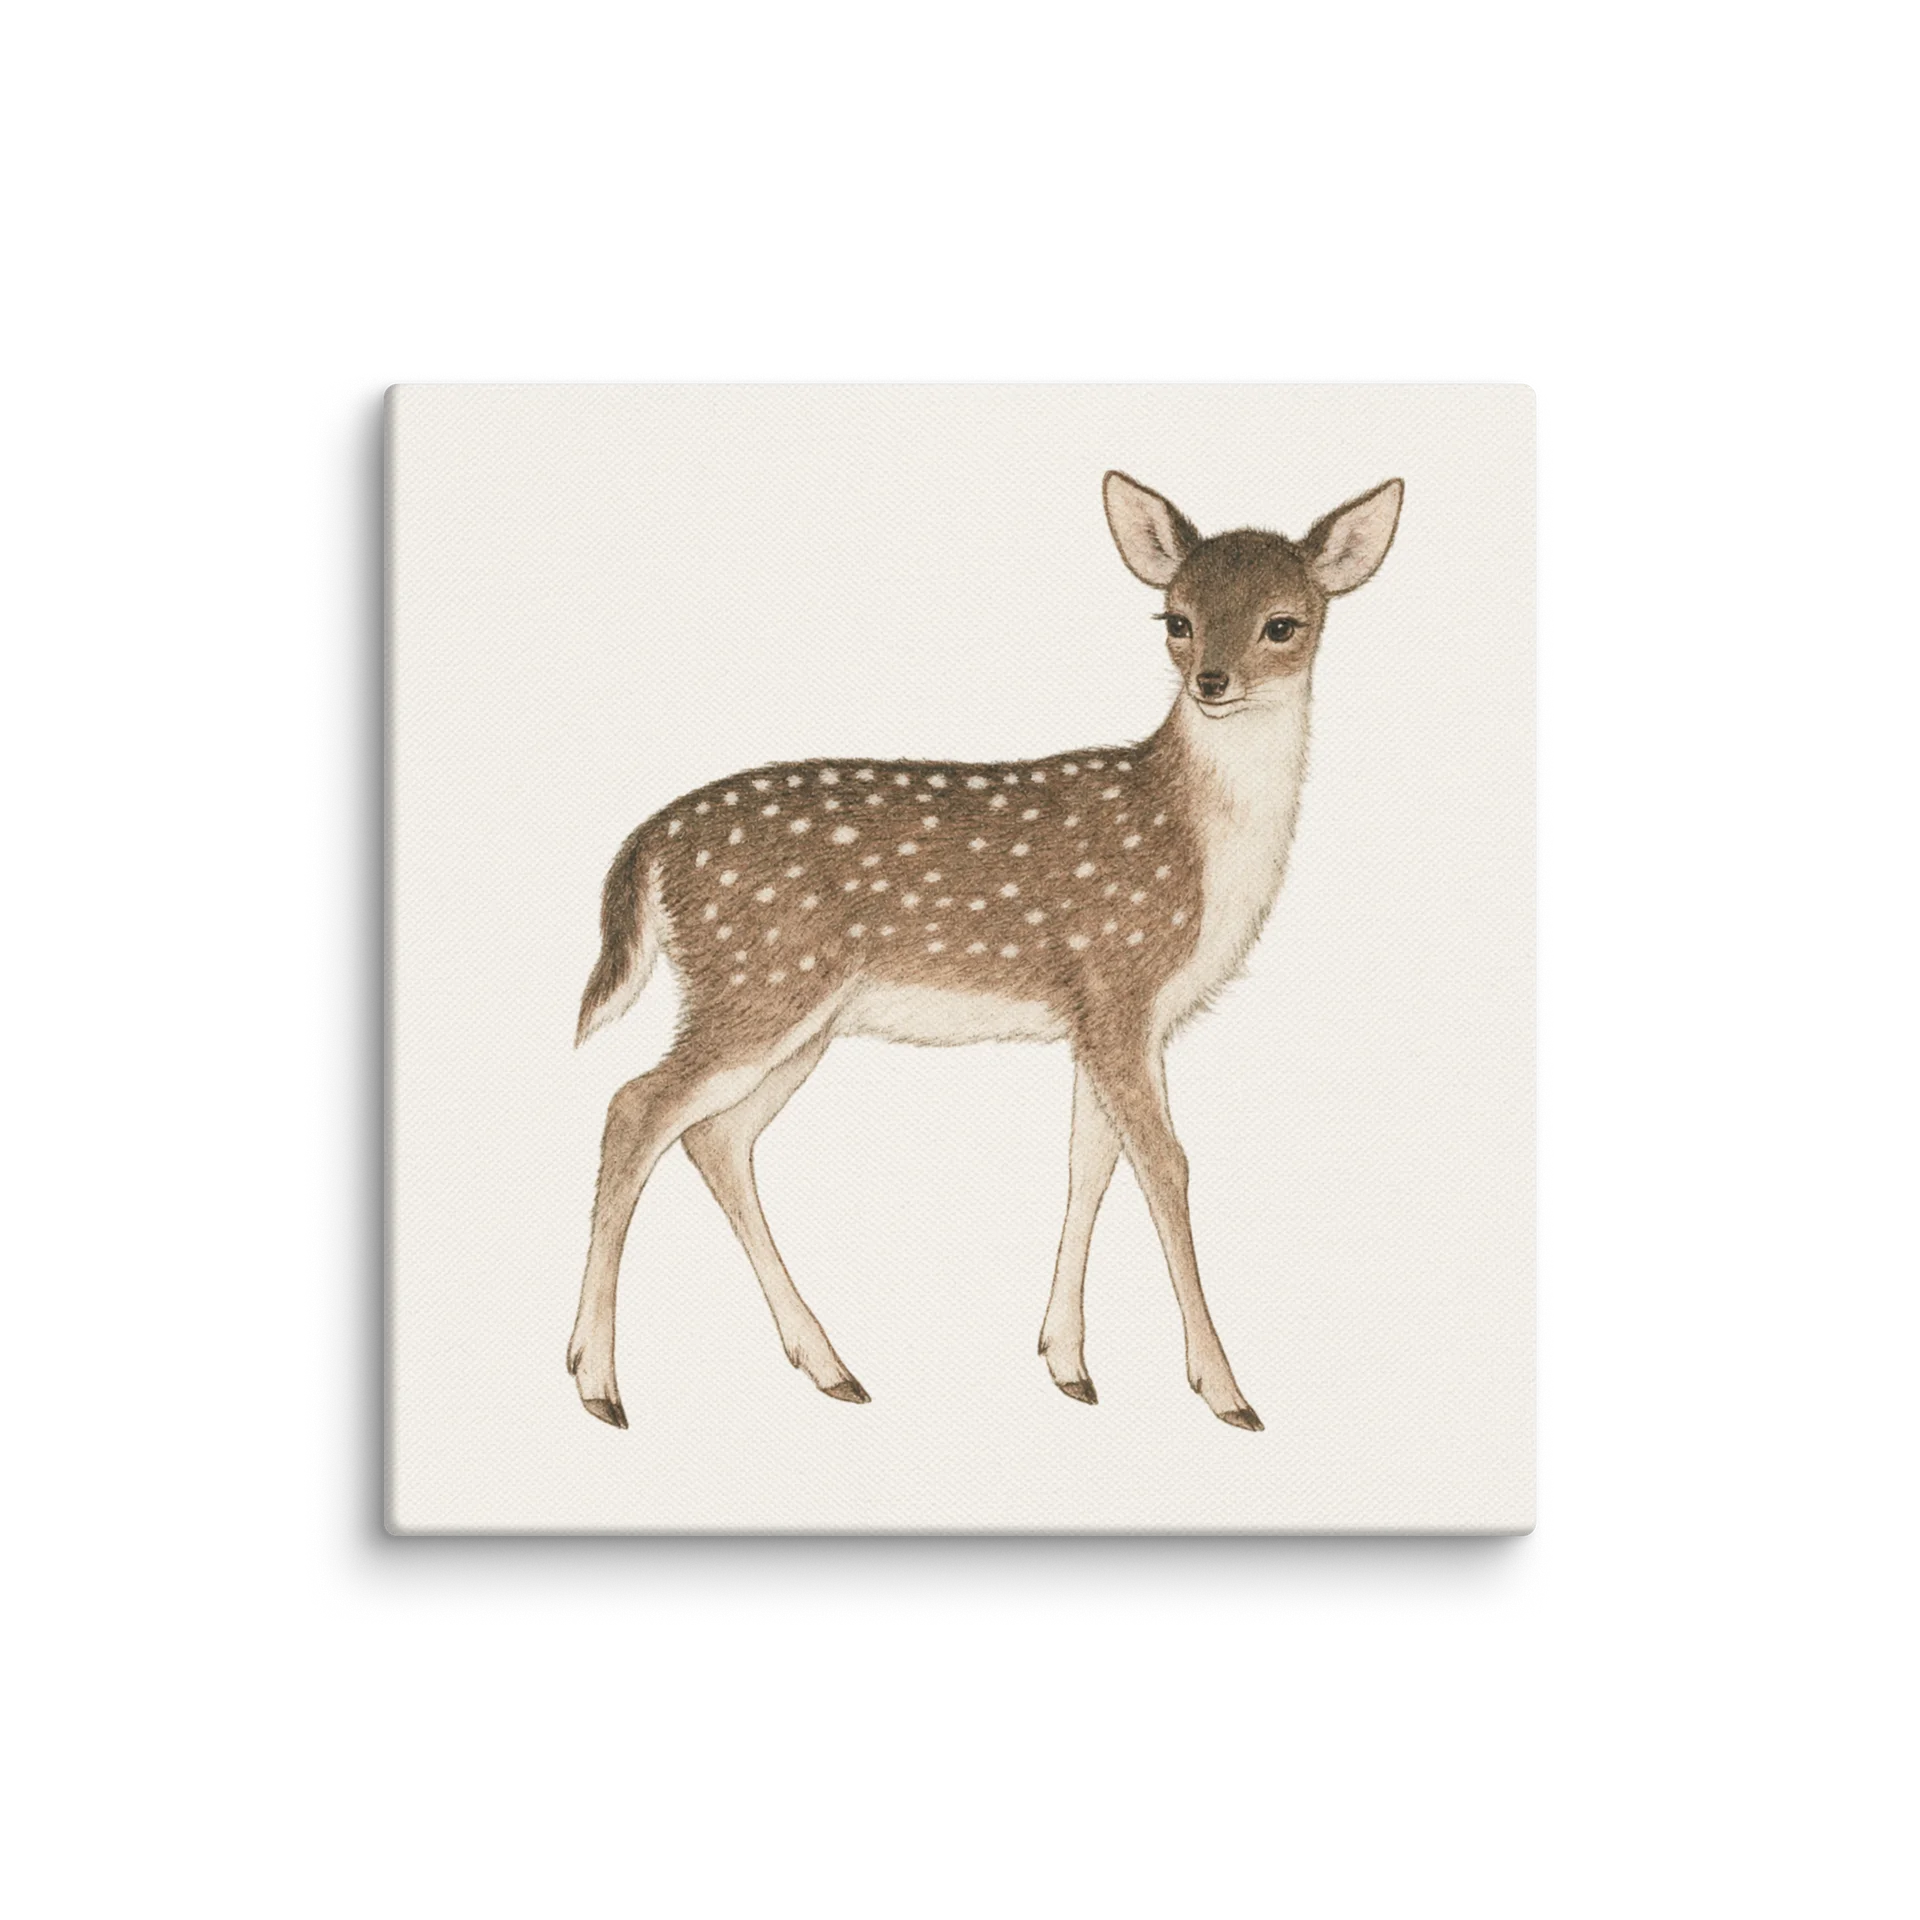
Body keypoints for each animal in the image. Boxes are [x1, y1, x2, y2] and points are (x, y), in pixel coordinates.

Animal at [568, 471, 1403, 1432]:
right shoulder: (1115, 981)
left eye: (1283, 623)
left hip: (795, 1014)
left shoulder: (1114, 1017)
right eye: (1176, 618)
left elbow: (1090, 1163)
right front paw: (1225, 1391)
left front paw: (1069, 1363)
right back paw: (598, 1380)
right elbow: (1167, 1165)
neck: (1201, 850)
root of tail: (648, 845)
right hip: (758, 981)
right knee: (635, 1107)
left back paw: (828, 1366)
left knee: (714, 1136)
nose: (1211, 681)